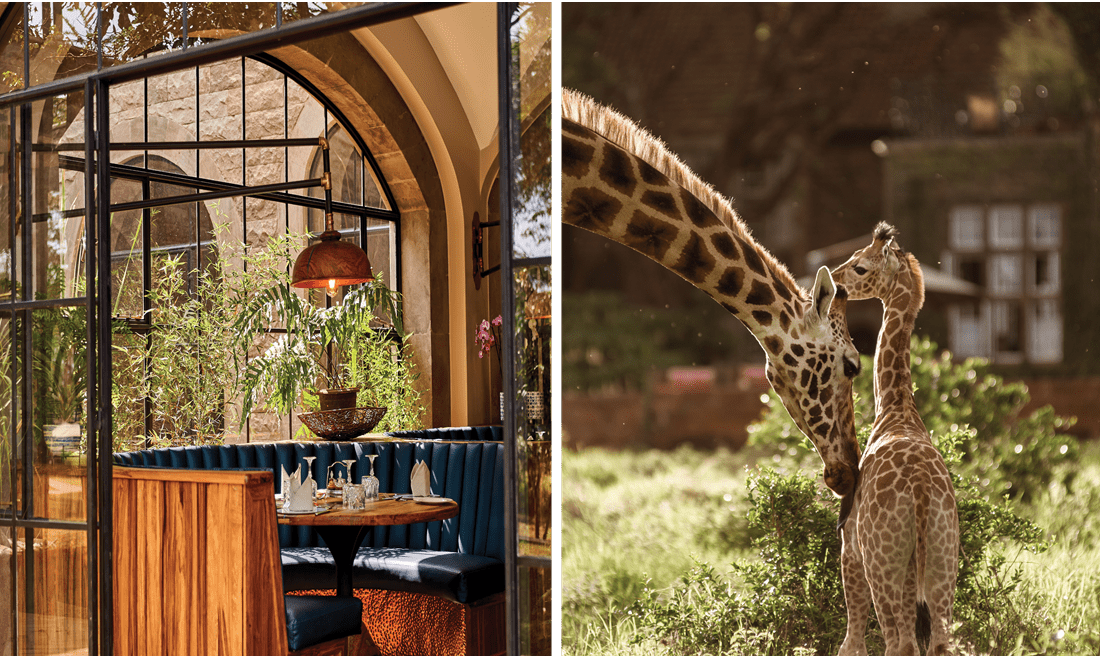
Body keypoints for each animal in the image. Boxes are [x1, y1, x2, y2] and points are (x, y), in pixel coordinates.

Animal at [830, 223, 959, 656]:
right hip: (942, 560)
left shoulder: (850, 548)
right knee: (937, 641)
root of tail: (920, 493)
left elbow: (851, 639)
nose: (834, 282)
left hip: (882, 562)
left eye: (860, 266)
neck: (897, 408)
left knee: (893, 640)